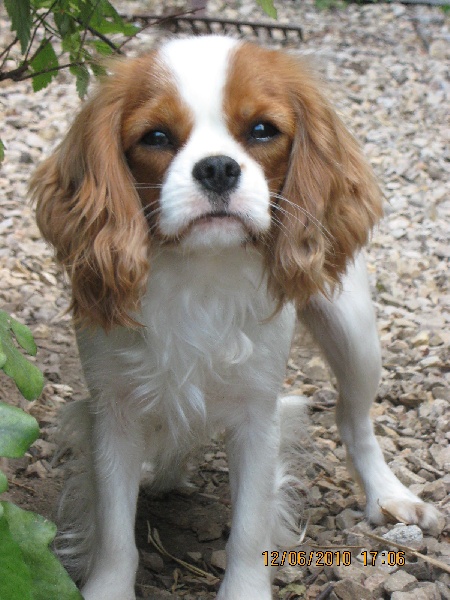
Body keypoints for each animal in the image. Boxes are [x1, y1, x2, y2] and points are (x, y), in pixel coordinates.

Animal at [31, 35, 440, 600]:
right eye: (156, 137)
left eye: (262, 130)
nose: (218, 167)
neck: (200, 270)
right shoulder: (113, 412)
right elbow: (115, 532)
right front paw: (108, 588)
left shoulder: (257, 414)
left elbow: (249, 527)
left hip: (354, 333)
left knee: (354, 420)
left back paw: (388, 495)